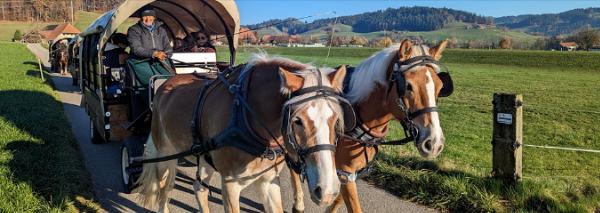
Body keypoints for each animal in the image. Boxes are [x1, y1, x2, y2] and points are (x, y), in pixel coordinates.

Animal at [134, 53, 350, 213]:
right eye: (297, 120)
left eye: (335, 121)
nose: (328, 191)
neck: (245, 116)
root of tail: (165, 83)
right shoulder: (230, 185)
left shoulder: (269, 182)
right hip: (165, 154)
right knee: (164, 185)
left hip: (204, 156)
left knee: (200, 189)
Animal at [290, 38, 454, 213]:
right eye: (408, 86)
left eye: (440, 87)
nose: (434, 143)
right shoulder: (343, 172)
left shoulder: (352, 173)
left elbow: (338, 201)